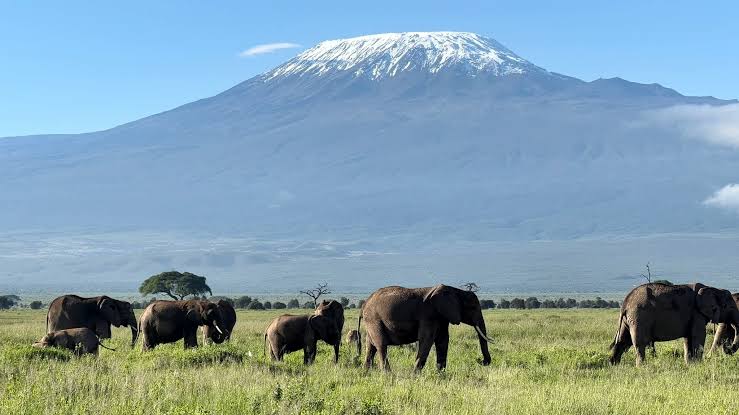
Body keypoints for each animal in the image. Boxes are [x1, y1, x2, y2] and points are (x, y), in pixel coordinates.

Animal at [358, 284, 493, 372]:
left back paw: (365, 373)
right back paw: (388, 375)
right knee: (381, 345)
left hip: (371, 322)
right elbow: (427, 340)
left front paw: (441, 375)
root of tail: (364, 304)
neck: (456, 291)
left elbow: (443, 341)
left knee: (370, 347)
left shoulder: (442, 317)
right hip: (374, 319)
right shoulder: (428, 315)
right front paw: (415, 376)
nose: (480, 361)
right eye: (473, 307)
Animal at [609, 282, 739, 366]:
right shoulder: (696, 313)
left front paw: (690, 365)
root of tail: (625, 303)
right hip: (639, 317)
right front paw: (698, 365)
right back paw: (641, 367)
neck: (714, 289)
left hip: (629, 319)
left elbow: (688, 339)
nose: (727, 346)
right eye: (731, 307)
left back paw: (614, 366)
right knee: (639, 343)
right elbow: (699, 336)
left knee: (622, 341)